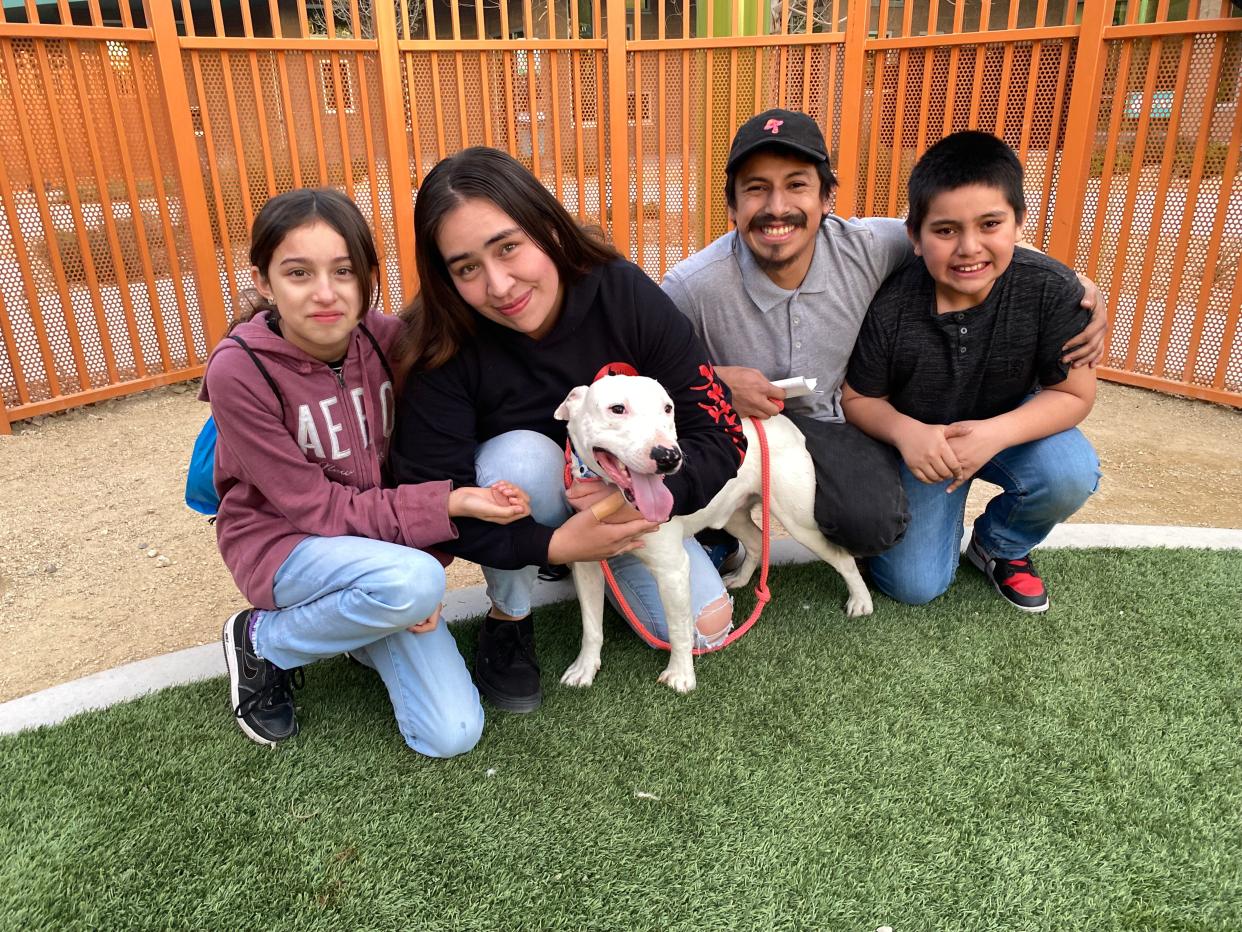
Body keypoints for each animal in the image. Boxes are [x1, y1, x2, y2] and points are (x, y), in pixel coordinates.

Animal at [553, 375, 874, 695]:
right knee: (757, 539)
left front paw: (681, 675)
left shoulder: (672, 570)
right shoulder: (586, 564)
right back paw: (741, 579)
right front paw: (584, 668)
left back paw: (861, 601)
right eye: (617, 408)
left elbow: (679, 628)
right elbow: (591, 626)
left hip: (798, 522)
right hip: (732, 514)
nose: (669, 457)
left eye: (668, 408)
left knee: (842, 557)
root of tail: (778, 420)